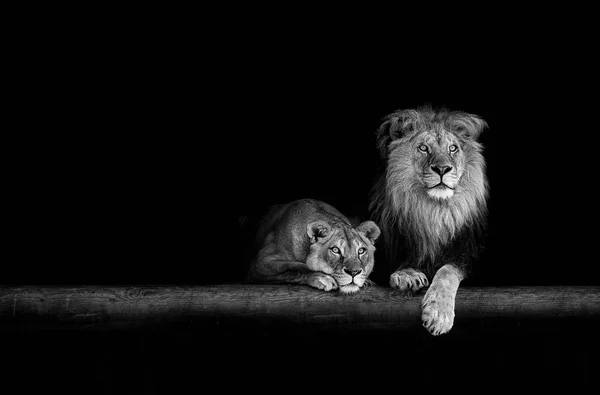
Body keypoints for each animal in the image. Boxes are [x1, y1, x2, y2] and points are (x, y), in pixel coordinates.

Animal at [247, 200, 380, 296]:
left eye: (361, 251)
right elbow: (296, 268)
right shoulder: (259, 263)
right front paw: (323, 277)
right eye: (335, 250)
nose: (354, 272)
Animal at [368, 106, 490, 336]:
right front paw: (407, 275)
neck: (432, 211)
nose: (442, 169)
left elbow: (447, 271)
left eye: (453, 148)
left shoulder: (467, 253)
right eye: (423, 148)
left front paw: (439, 314)